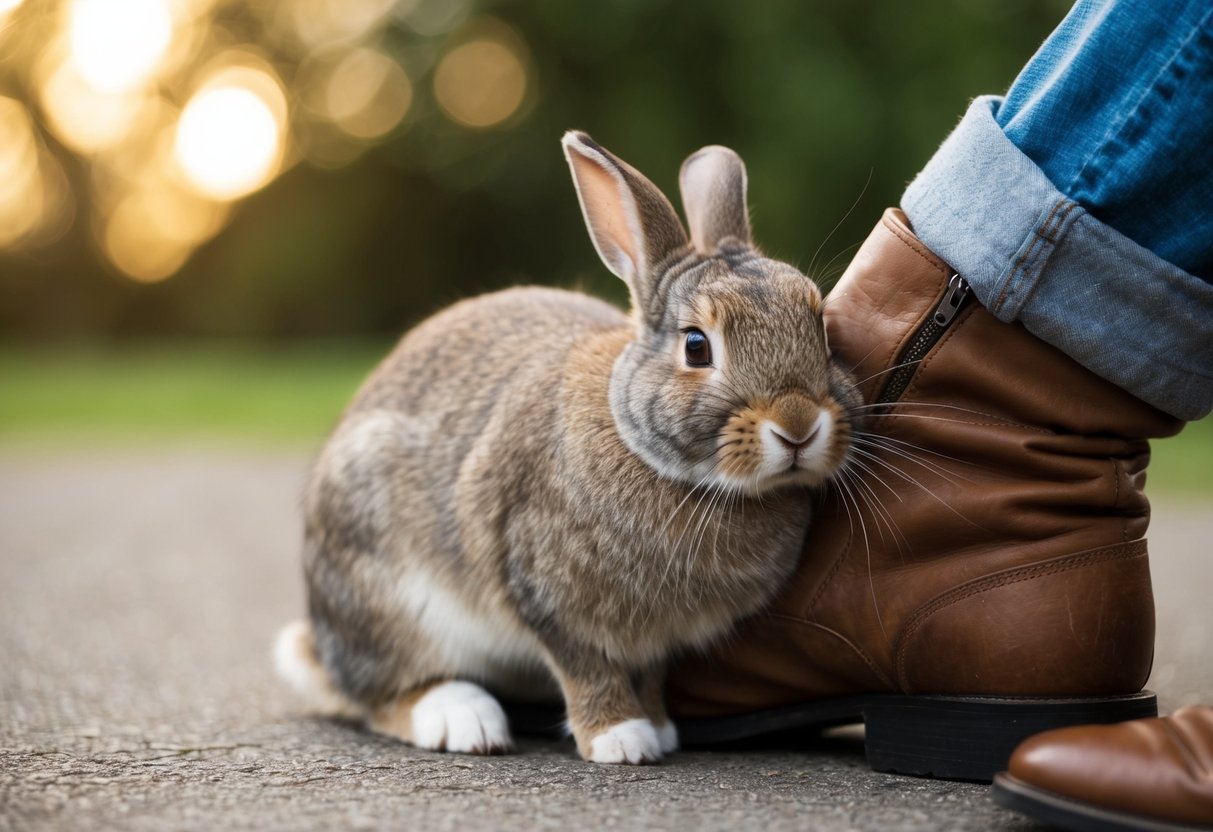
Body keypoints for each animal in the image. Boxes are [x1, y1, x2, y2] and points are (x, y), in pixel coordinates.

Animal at [274, 131, 859, 765]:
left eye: (822, 329)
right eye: (697, 346)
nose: (798, 426)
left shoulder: (661, 643)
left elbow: (649, 678)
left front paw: (659, 728)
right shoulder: (546, 599)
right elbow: (586, 668)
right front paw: (620, 739)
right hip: (385, 582)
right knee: (380, 694)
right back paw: (463, 719)